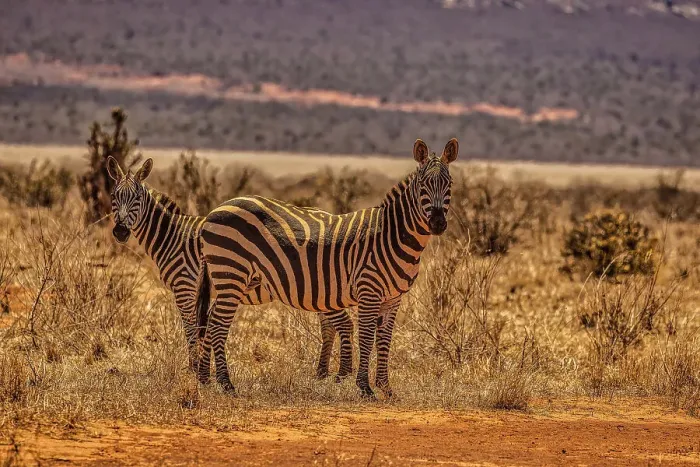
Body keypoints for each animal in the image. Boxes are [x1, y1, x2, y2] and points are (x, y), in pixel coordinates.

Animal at [105, 156, 354, 381]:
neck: (173, 236)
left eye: (137, 198)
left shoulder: (185, 286)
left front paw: (195, 368)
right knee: (328, 324)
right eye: (114, 196)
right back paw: (322, 372)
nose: (120, 232)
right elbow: (206, 328)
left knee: (337, 322)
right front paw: (207, 370)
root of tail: (328, 215)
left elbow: (191, 329)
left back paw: (338, 373)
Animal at [197, 138, 458, 398]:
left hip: (235, 280)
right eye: (423, 185)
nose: (437, 224)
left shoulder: (393, 298)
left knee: (210, 319)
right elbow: (366, 337)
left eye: (449, 184)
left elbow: (384, 340)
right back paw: (226, 384)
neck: (391, 235)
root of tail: (215, 210)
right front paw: (364, 387)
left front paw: (386, 388)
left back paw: (203, 378)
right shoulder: (369, 291)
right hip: (231, 273)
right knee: (218, 324)